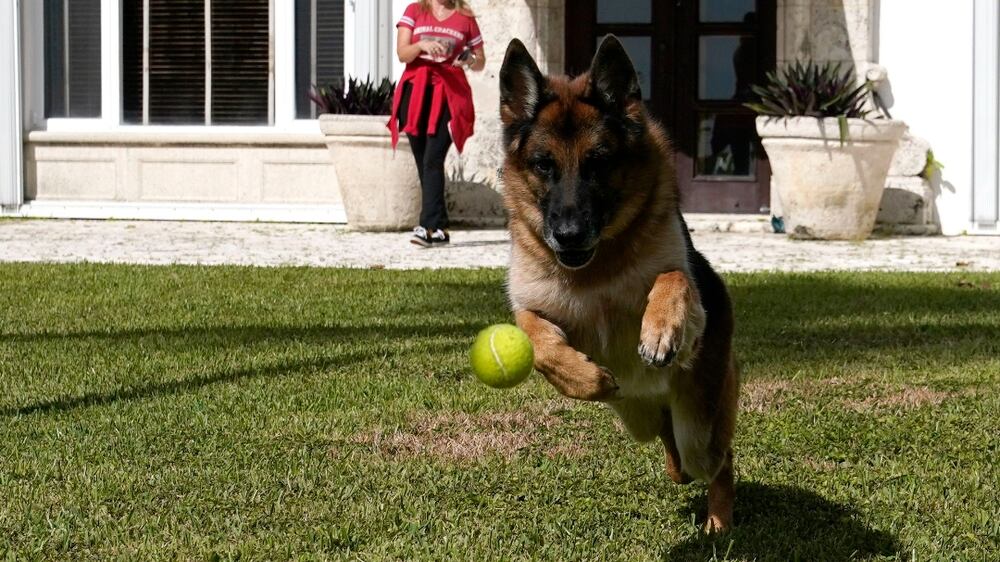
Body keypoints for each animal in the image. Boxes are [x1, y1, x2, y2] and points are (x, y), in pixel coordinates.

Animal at [504, 36, 740, 528]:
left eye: (599, 163)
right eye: (543, 165)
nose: (569, 235)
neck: (597, 270)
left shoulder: (686, 296)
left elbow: (674, 276)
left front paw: (660, 332)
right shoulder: (530, 307)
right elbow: (533, 335)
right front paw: (585, 378)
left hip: (700, 431)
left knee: (717, 459)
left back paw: (719, 522)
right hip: (642, 423)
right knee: (673, 454)